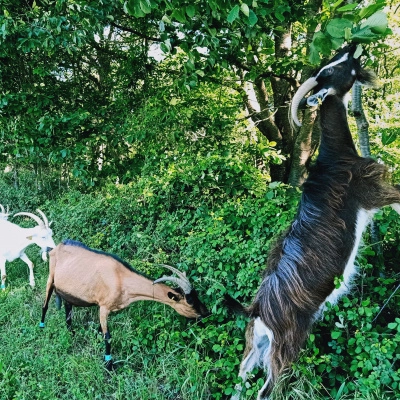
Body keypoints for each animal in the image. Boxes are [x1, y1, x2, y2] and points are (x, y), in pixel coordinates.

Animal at [230, 43, 400, 400]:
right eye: (332, 70)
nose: (352, 46)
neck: (335, 157)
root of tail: (259, 312)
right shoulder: (373, 191)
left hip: (256, 346)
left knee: (240, 378)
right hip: (285, 348)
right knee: (268, 389)